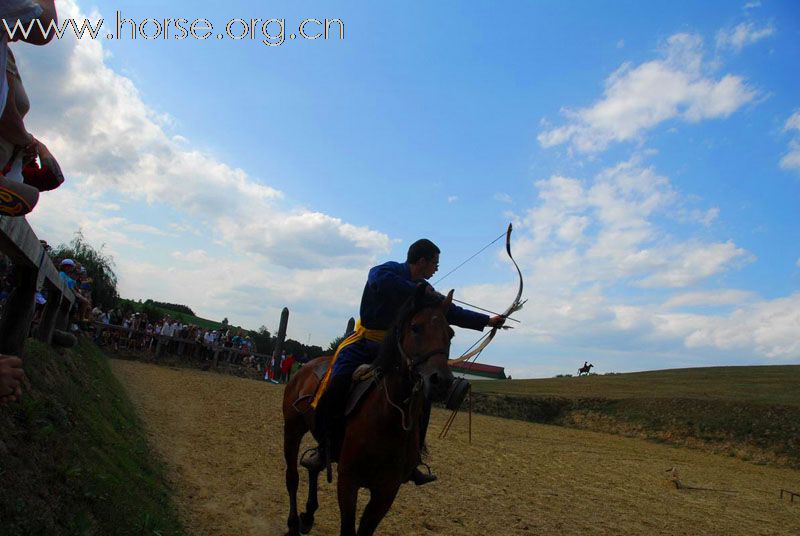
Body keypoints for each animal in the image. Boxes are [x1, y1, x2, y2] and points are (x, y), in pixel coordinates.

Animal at [282, 284, 456, 536]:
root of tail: (305, 368)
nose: (441, 381)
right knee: (292, 477)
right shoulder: (348, 482)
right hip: (292, 428)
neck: (388, 418)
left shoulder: (386, 491)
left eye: (450, 334)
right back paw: (293, 523)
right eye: (416, 327)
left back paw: (308, 515)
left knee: (315, 467)